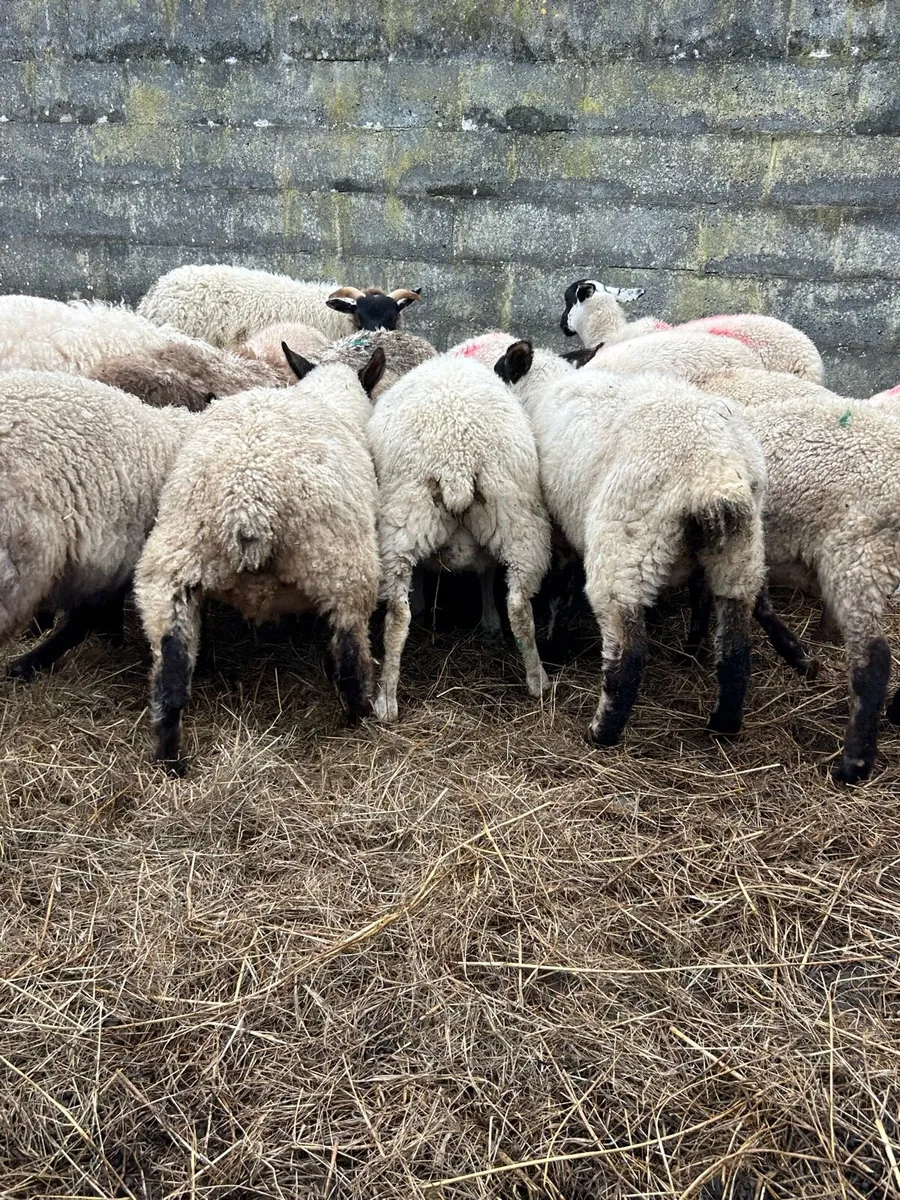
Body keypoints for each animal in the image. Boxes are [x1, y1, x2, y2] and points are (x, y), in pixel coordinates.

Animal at [133, 349, 387, 774]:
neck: (329, 400)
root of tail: (247, 501)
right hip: (344, 565)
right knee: (352, 658)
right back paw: (359, 719)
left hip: (172, 567)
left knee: (171, 673)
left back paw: (170, 759)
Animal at [366, 352, 552, 722]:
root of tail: (457, 461)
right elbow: (486, 572)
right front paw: (489, 620)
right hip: (517, 517)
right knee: (519, 606)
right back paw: (537, 680)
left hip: (407, 517)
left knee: (398, 615)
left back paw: (386, 699)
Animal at [493, 339, 768, 745]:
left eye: (496, 370)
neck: (543, 391)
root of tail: (713, 474)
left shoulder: (558, 524)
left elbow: (561, 589)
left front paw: (555, 647)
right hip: (738, 552)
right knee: (735, 646)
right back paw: (723, 723)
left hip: (624, 545)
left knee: (629, 652)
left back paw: (602, 731)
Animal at [697, 367, 900, 783]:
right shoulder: (752, 552)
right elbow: (758, 604)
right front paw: (800, 658)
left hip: (856, 558)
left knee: (873, 659)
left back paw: (853, 764)